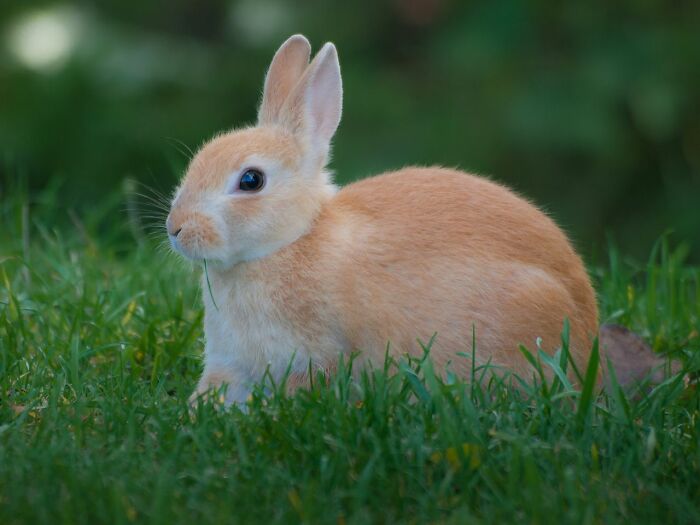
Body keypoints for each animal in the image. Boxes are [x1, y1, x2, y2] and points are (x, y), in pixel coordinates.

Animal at [166, 34, 599, 405]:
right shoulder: (231, 362)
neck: (291, 241)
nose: (176, 229)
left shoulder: (314, 356)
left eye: (251, 180)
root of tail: (587, 328)